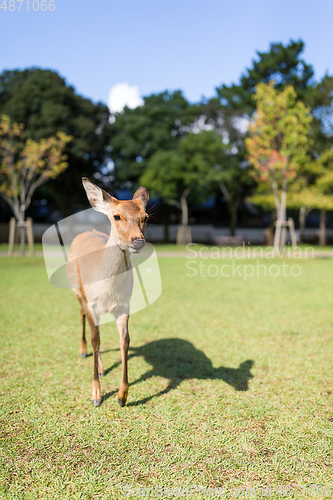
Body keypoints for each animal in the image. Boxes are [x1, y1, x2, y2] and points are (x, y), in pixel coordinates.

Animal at [65, 178, 148, 408]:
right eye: (116, 216)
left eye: (145, 217)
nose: (138, 240)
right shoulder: (90, 302)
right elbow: (96, 340)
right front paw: (96, 396)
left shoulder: (124, 304)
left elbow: (125, 340)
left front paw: (122, 396)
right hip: (78, 293)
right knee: (83, 319)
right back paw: (84, 352)